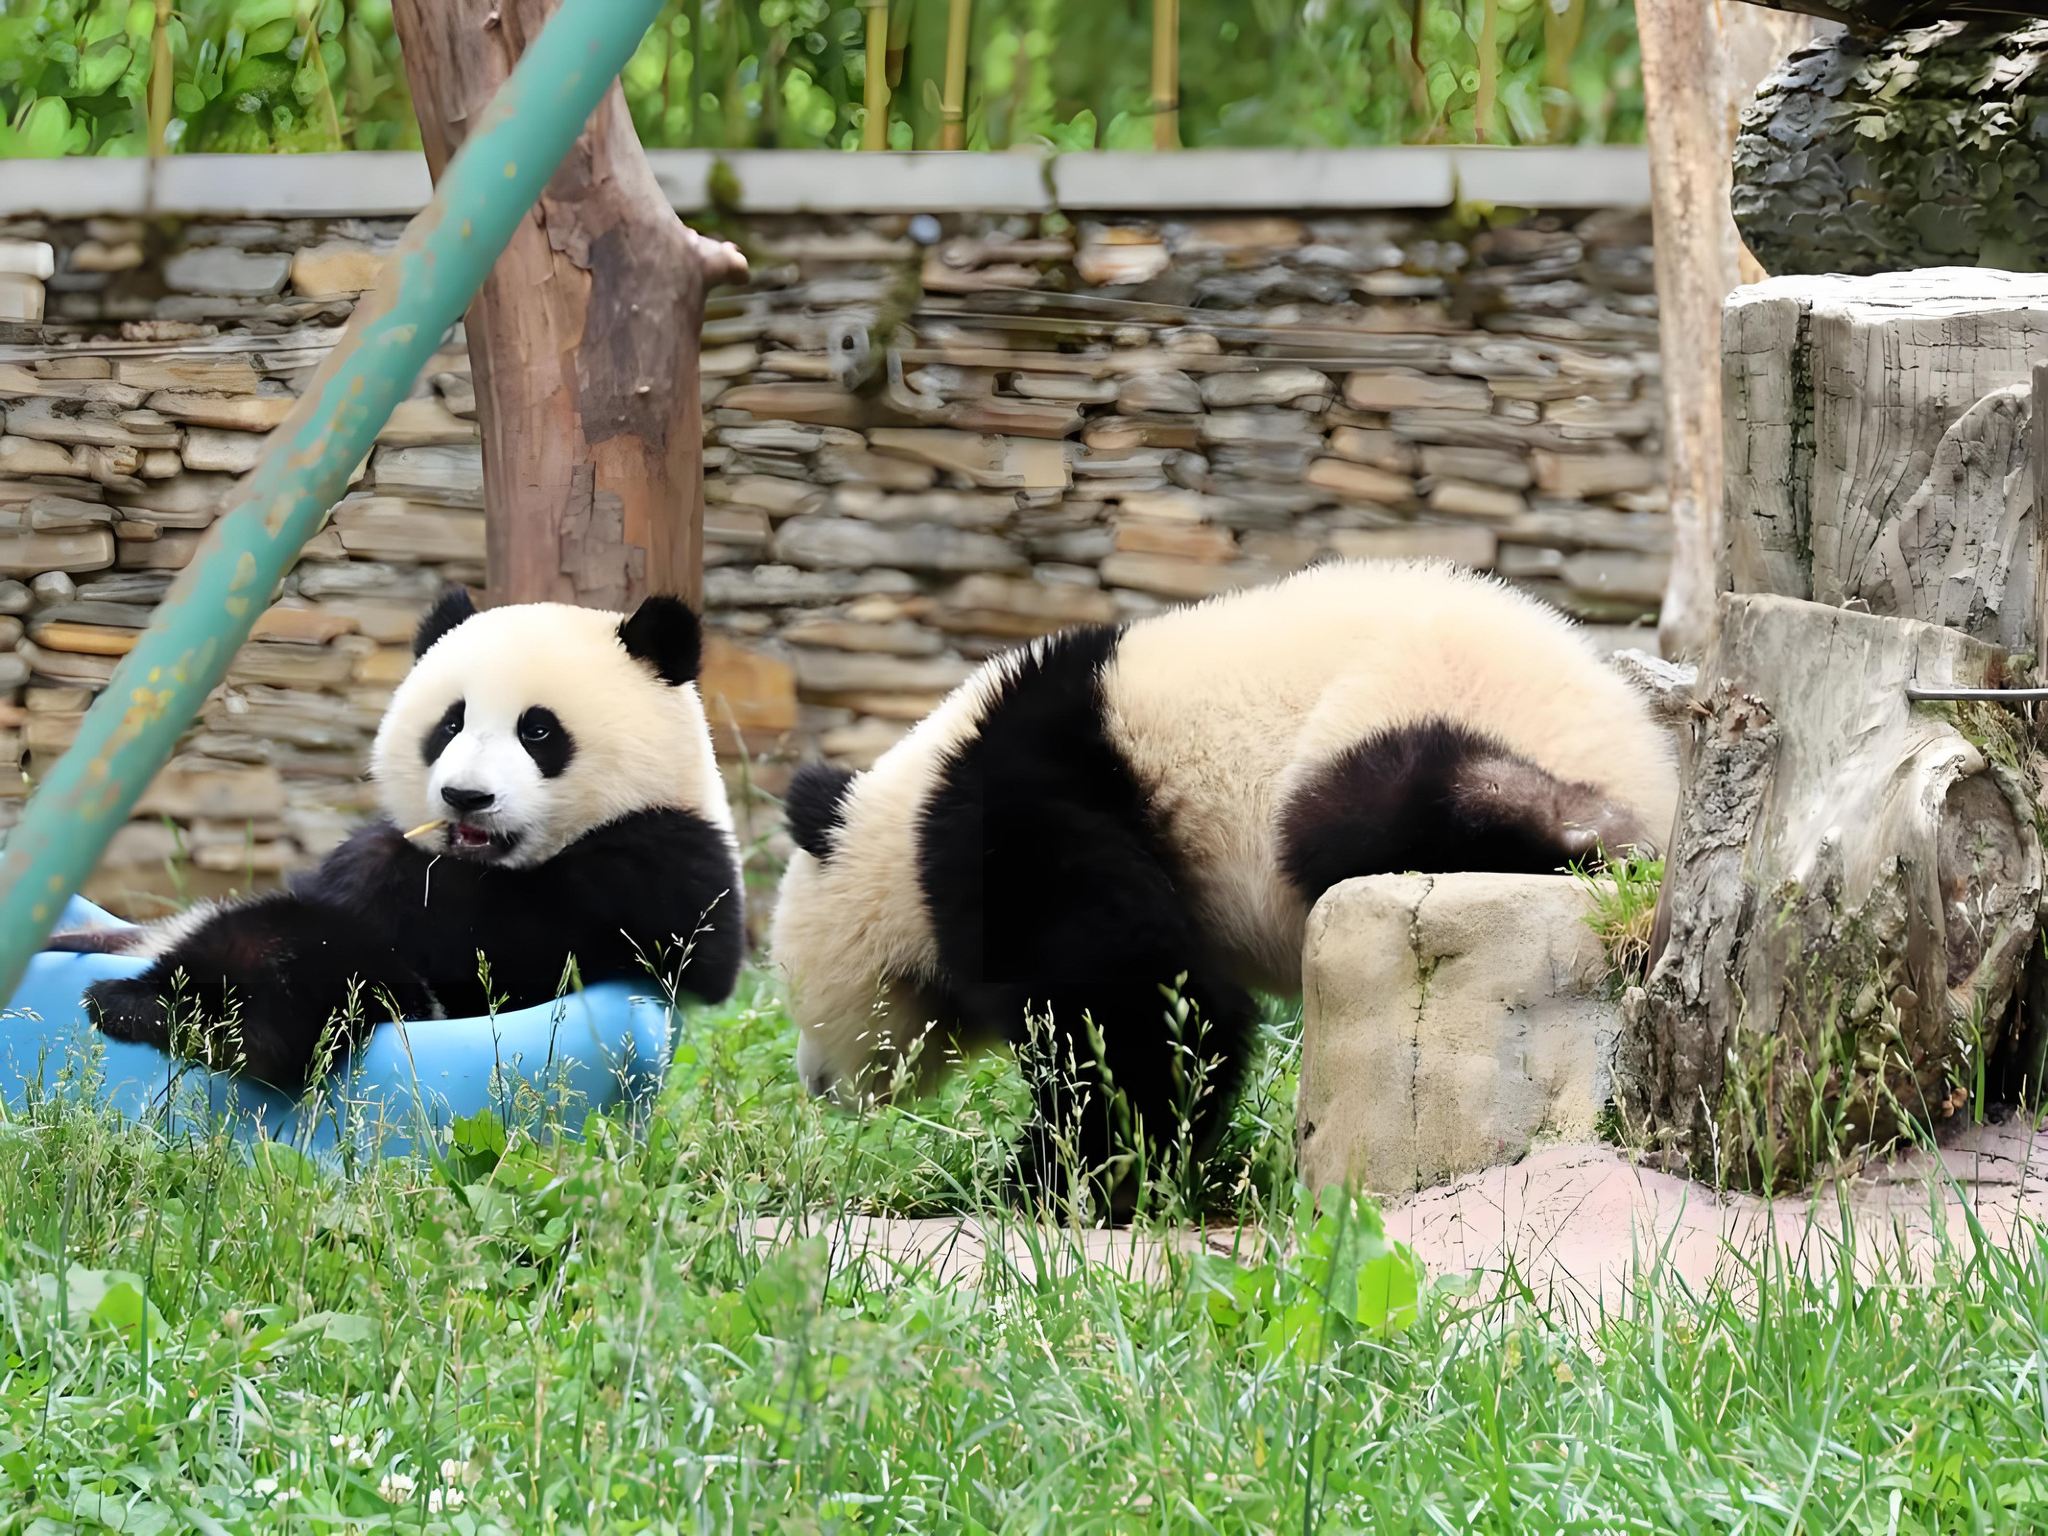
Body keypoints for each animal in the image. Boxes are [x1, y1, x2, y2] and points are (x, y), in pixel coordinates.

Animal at [46, 586, 745, 1091]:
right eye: (451, 724)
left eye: (539, 731)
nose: (466, 797)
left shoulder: (672, 863)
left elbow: (533, 928)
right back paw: (146, 1003)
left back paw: (215, 1027)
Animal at [769, 558, 1678, 1207]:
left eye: (791, 990)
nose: (815, 1086)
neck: (905, 825)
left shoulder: (1024, 812)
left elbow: (1131, 1010)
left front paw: (1056, 1181)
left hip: (1414, 704)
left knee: (1355, 814)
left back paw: (1570, 821)